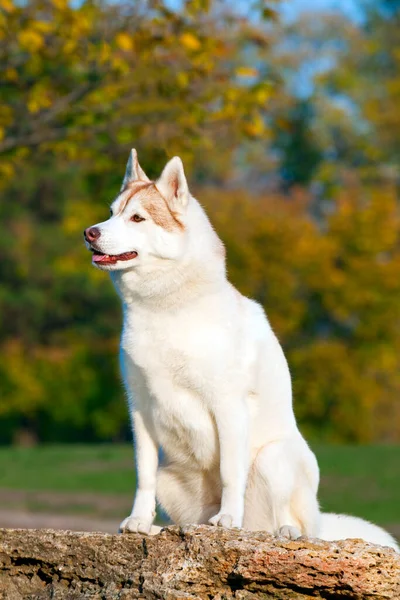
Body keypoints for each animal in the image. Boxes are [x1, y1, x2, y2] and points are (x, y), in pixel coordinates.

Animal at [84, 150, 396, 552]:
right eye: (111, 212)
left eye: (137, 217)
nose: (89, 232)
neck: (167, 309)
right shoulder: (139, 410)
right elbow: (143, 476)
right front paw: (139, 522)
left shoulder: (227, 406)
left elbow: (231, 472)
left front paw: (228, 518)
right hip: (172, 478)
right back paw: (171, 528)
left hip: (272, 461)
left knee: (293, 525)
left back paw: (280, 532)